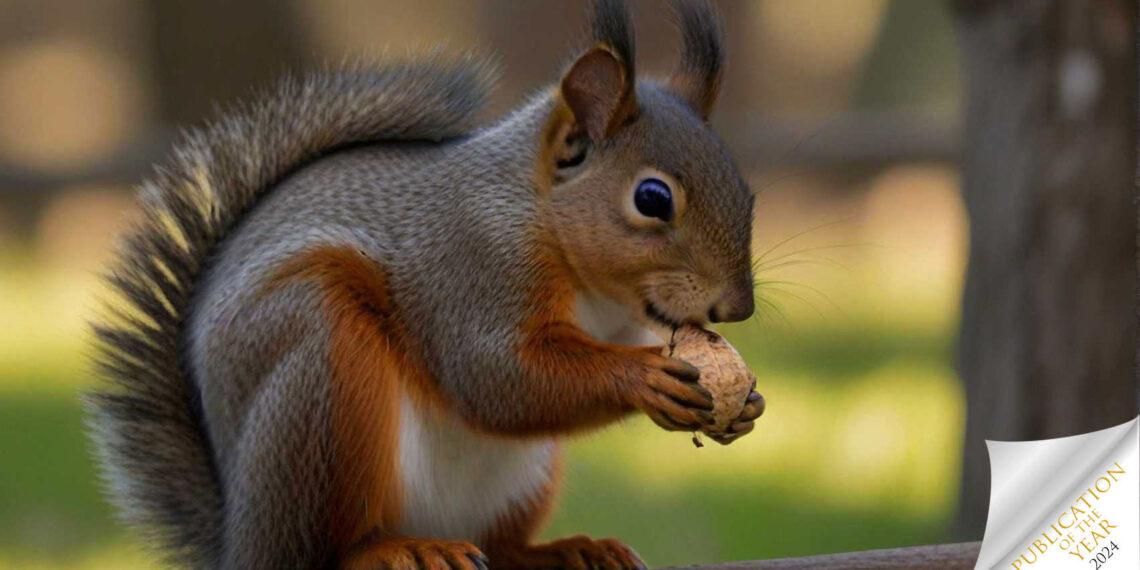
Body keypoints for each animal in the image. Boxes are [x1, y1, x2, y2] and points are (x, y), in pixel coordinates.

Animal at [85, 0, 762, 568]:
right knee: (324, 550)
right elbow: (498, 377)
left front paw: (747, 401)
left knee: (504, 548)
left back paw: (567, 550)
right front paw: (645, 377)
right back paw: (392, 550)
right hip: (319, 384)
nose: (738, 308)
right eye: (652, 198)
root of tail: (239, 540)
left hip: (521, 480)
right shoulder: (471, 264)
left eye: (747, 192)